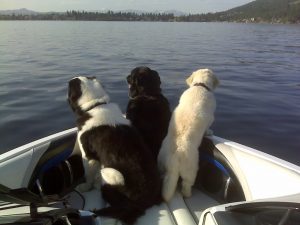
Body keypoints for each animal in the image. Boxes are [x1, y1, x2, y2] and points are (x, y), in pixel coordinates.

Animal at [68, 76, 162, 224]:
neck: (97, 104)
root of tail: (141, 203)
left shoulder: (88, 157)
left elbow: (88, 175)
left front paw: (85, 187)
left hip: (109, 182)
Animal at [158, 68, 219, 202]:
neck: (200, 85)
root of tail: (174, 159)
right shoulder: (211, 117)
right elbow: (208, 126)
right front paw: (210, 132)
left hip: (161, 160)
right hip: (190, 169)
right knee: (186, 184)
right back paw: (188, 194)